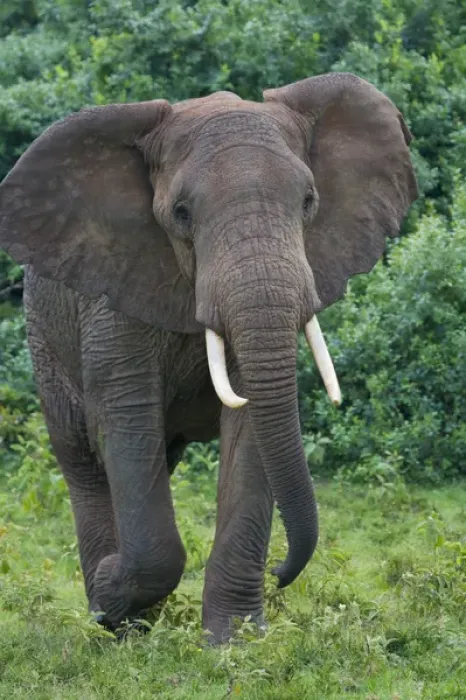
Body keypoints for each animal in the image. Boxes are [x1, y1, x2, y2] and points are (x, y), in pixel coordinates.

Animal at [0, 72, 418, 642]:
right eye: (181, 214)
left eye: (309, 202)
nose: (281, 571)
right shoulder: (113, 295)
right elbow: (126, 424)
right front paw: (113, 595)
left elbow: (251, 431)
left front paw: (235, 642)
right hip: (44, 338)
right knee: (83, 460)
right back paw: (110, 620)